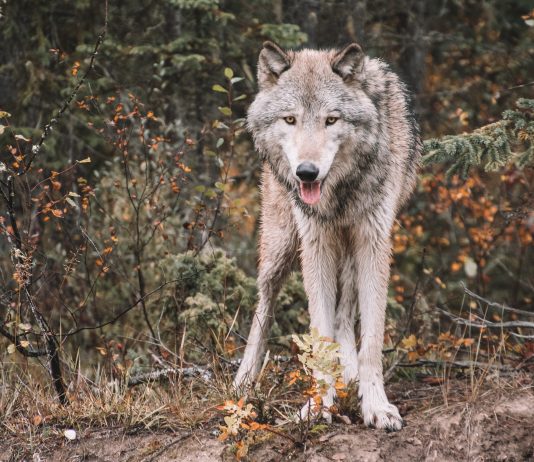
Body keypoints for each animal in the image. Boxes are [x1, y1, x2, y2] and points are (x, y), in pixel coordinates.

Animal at [234, 41, 422, 432]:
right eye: (290, 119)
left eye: (331, 120)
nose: (307, 172)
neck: (340, 191)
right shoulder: (315, 244)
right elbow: (319, 335)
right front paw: (319, 405)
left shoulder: (374, 241)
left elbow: (370, 339)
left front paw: (376, 406)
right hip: (280, 248)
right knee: (264, 305)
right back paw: (244, 380)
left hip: (348, 250)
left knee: (345, 311)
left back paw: (348, 373)